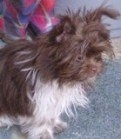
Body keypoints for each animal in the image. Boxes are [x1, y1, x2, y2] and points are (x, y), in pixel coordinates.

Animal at [0, 5, 119, 139]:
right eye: (79, 57)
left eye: (97, 54)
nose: (95, 69)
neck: (56, 75)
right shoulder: (35, 98)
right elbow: (41, 118)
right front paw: (43, 133)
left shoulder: (51, 96)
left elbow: (51, 112)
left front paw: (55, 123)